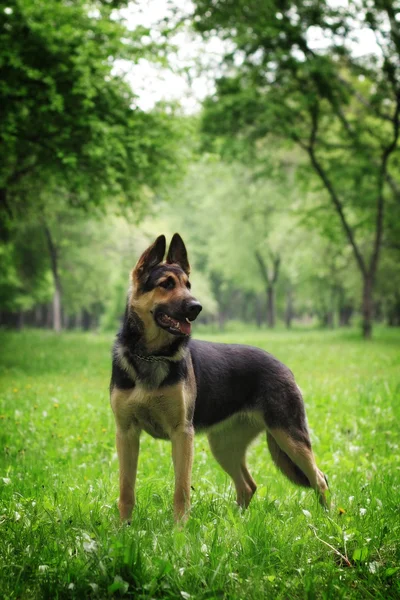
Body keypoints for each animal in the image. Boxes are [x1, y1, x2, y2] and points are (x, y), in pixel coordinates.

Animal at [109, 232, 328, 524]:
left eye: (188, 285)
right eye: (166, 284)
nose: (197, 307)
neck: (151, 355)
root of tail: (283, 366)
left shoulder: (182, 434)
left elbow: (181, 489)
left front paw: (179, 529)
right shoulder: (126, 434)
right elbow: (126, 489)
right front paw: (123, 528)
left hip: (289, 437)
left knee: (320, 478)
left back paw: (329, 520)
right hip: (224, 445)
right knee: (248, 485)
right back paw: (239, 523)